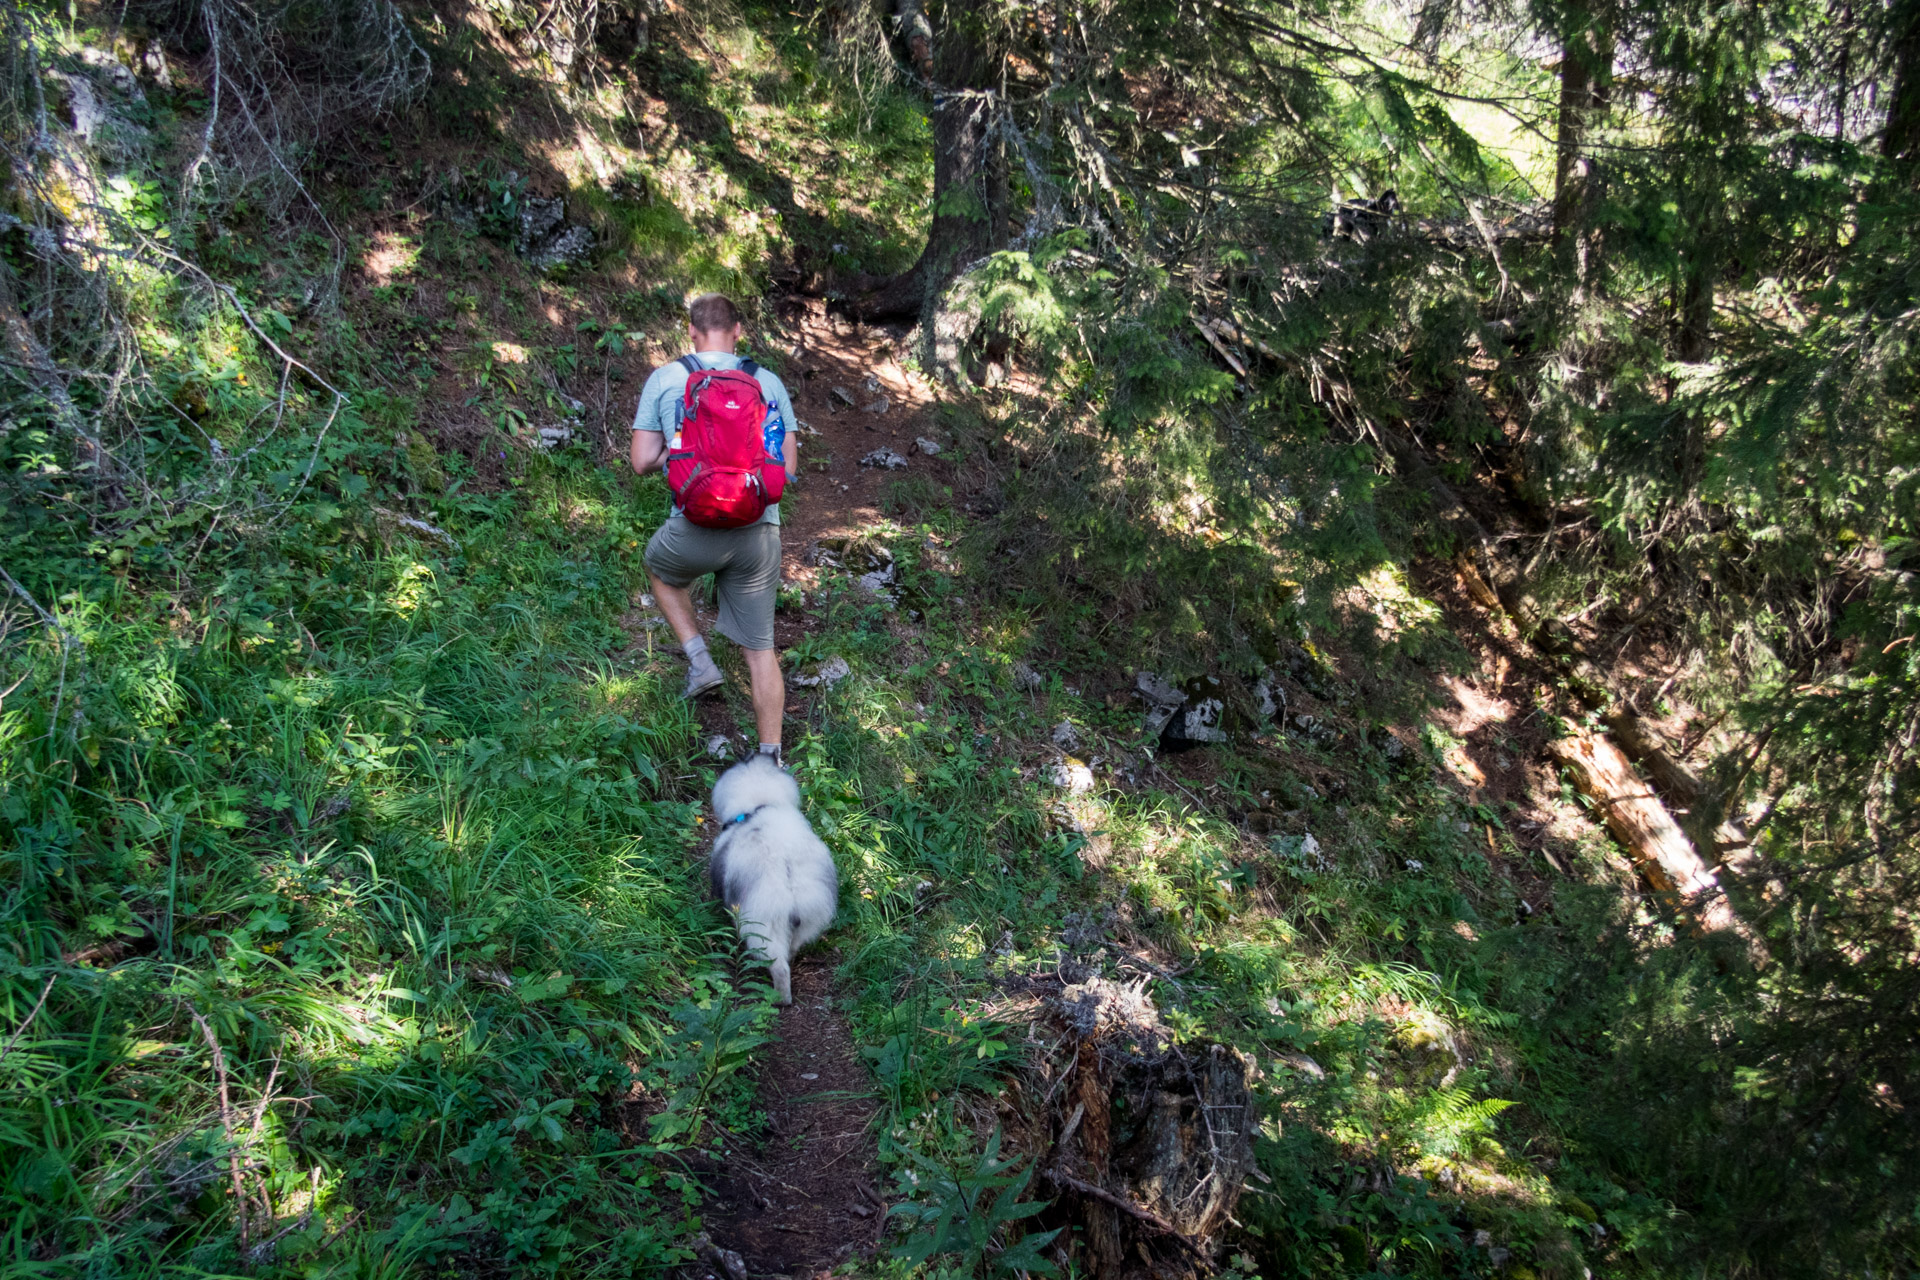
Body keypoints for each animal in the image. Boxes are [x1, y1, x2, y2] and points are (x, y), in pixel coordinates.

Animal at [710, 756, 837, 1005]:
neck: (758, 804)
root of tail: (789, 877)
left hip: (762, 927)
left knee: (779, 967)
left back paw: (779, 999)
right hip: (804, 923)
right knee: (791, 951)